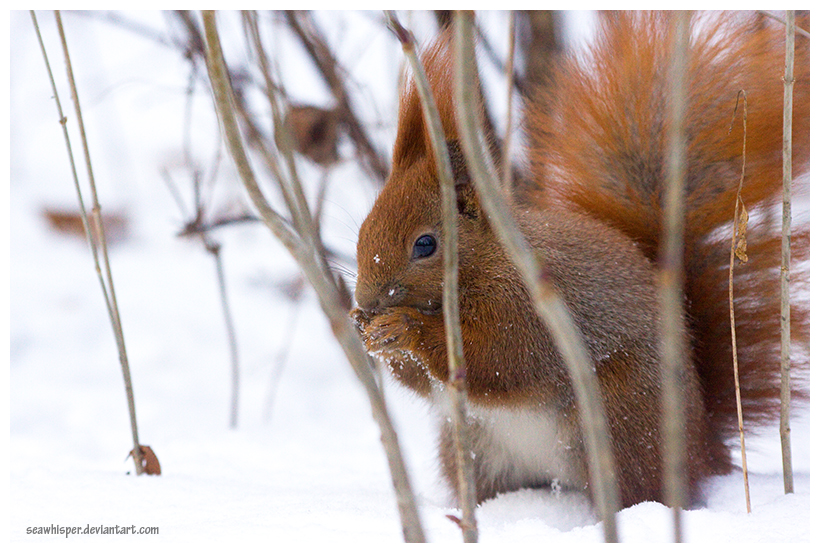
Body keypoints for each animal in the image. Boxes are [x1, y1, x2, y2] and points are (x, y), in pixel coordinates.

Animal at [350, 9, 812, 508]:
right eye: (362, 230)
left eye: (425, 245)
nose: (367, 300)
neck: (487, 261)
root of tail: (703, 445)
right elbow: (426, 382)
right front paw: (365, 329)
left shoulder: (527, 310)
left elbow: (496, 359)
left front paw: (404, 328)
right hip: (471, 447)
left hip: (621, 421)